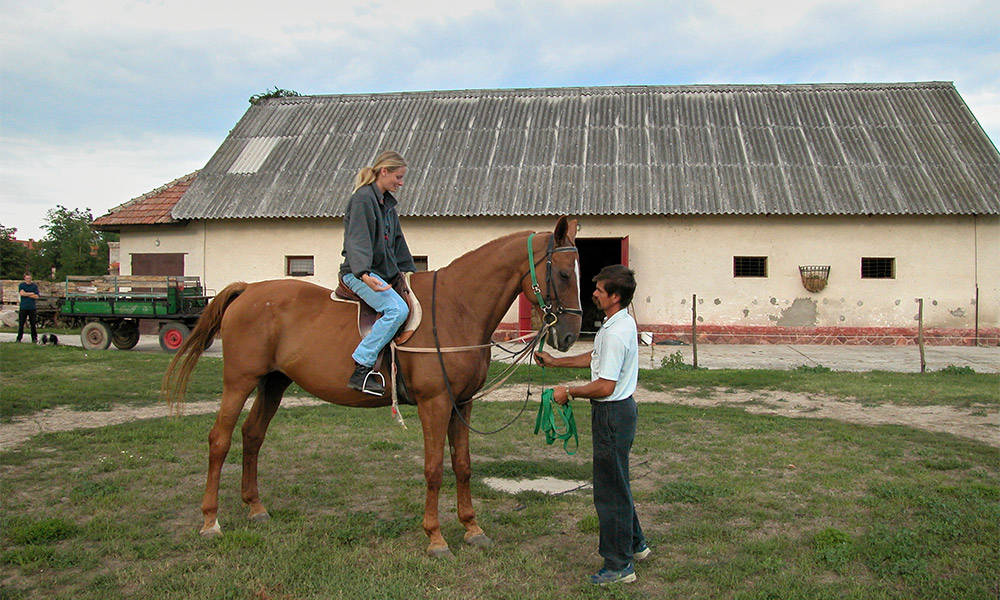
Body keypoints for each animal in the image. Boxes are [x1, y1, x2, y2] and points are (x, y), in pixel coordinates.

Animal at [162, 217, 584, 556]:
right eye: (564, 274)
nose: (568, 336)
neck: (456, 309)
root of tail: (248, 290)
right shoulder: (436, 403)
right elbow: (434, 468)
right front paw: (436, 538)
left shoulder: (461, 403)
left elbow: (462, 465)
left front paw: (472, 528)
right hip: (240, 381)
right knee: (220, 440)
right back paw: (210, 521)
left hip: (273, 383)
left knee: (252, 436)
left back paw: (255, 508)